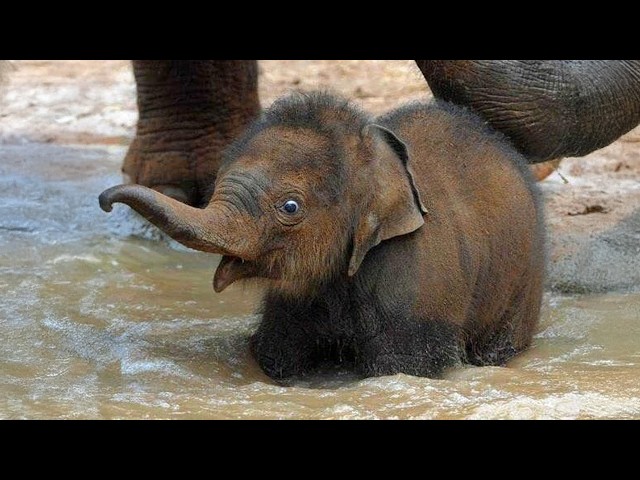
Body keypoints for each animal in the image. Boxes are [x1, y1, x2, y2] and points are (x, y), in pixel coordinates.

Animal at [99, 92, 545, 379]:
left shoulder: (415, 282)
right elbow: (278, 354)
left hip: (522, 285)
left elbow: (404, 366)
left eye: (290, 207)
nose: (104, 201)